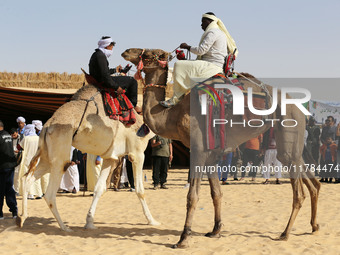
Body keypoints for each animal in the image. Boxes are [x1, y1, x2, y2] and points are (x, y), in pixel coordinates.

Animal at [15, 84, 160, 231]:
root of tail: (47, 126)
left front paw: (89, 222)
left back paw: (21, 218)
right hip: (59, 156)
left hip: (46, 157)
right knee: (50, 193)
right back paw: (64, 227)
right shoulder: (137, 153)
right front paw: (152, 221)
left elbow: (99, 189)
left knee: (27, 178)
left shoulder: (110, 158)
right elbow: (140, 190)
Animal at [122, 47, 322, 247]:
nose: (126, 52)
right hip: (292, 142)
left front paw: (183, 237)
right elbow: (216, 193)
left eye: (148, 55)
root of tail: (300, 108)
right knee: (311, 181)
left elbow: (192, 197)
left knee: (299, 192)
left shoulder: (198, 151)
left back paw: (285, 233)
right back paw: (314, 226)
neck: (174, 115)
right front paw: (215, 230)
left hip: (288, 130)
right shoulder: (211, 155)